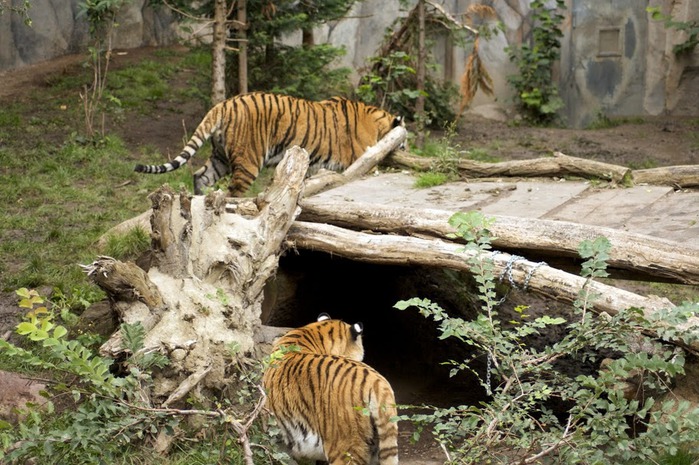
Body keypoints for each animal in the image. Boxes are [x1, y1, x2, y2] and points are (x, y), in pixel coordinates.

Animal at [135, 92, 404, 196]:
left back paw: (198, 199)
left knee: (200, 175)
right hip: (249, 161)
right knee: (233, 192)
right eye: (404, 142)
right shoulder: (363, 159)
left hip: (220, 157)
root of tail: (224, 104)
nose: (406, 149)